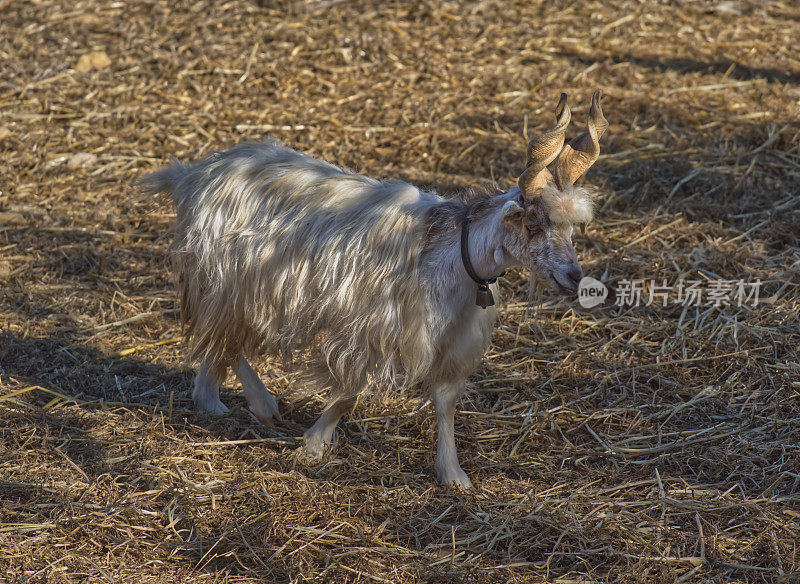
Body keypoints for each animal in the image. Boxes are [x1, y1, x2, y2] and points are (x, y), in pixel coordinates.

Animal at [142, 90, 608, 488]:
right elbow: (349, 393)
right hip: (231, 278)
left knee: (219, 336)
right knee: (226, 333)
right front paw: (312, 446)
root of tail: (192, 174)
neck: (450, 253)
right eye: (532, 225)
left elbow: (445, 403)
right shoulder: (371, 328)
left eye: (572, 227)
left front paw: (453, 475)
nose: (573, 277)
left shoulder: (450, 340)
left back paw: (210, 400)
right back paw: (261, 404)